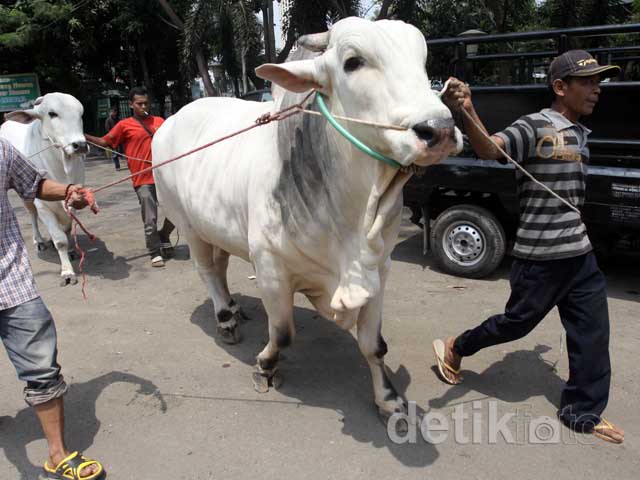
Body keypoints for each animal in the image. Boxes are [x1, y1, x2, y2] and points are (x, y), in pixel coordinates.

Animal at [0, 94, 88, 284]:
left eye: (81, 113)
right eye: (52, 113)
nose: (80, 145)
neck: (62, 167)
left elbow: (67, 229)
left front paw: (71, 251)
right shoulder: (41, 203)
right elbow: (60, 239)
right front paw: (67, 272)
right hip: (26, 196)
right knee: (32, 215)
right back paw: (39, 240)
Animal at [155, 16, 462, 418]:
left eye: (423, 59)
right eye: (352, 62)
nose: (439, 130)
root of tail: (171, 119)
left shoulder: (380, 268)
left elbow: (374, 345)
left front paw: (388, 398)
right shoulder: (270, 267)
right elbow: (283, 333)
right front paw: (265, 368)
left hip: (215, 226)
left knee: (220, 269)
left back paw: (234, 309)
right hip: (188, 225)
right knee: (207, 270)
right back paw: (225, 319)